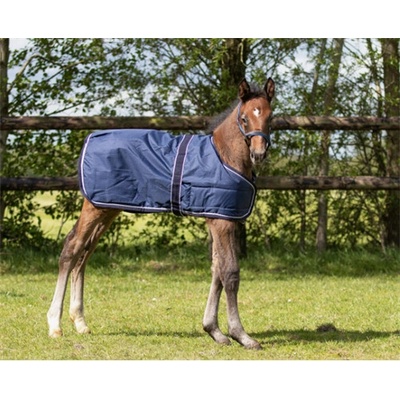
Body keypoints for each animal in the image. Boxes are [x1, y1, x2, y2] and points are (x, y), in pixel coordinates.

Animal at [47, 77, 275, 350]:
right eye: (244, 118)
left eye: (270, 117)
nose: (259, 154)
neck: (224, 157)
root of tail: (90, 138)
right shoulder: (222, 223)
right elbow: (229, 273)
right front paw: (241, 335)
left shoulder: (219, 219)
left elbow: (216, 270)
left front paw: (214, 330)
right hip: (95, 207)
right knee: (72, 249)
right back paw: (55, 325)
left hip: (107, 208)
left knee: (84, 254)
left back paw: (80, 322)